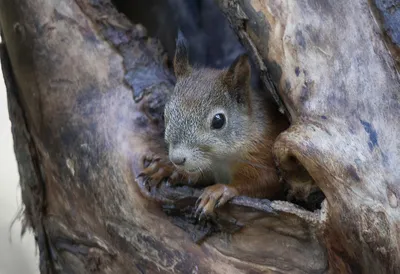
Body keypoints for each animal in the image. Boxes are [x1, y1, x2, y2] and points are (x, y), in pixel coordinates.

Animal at [140, 32, 288, 217]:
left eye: (218, 121)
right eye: (164, 113)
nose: (177, 160)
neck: (220, 160)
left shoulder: (264, 155)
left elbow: (265, 182)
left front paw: (219, 190)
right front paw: (167, 168)